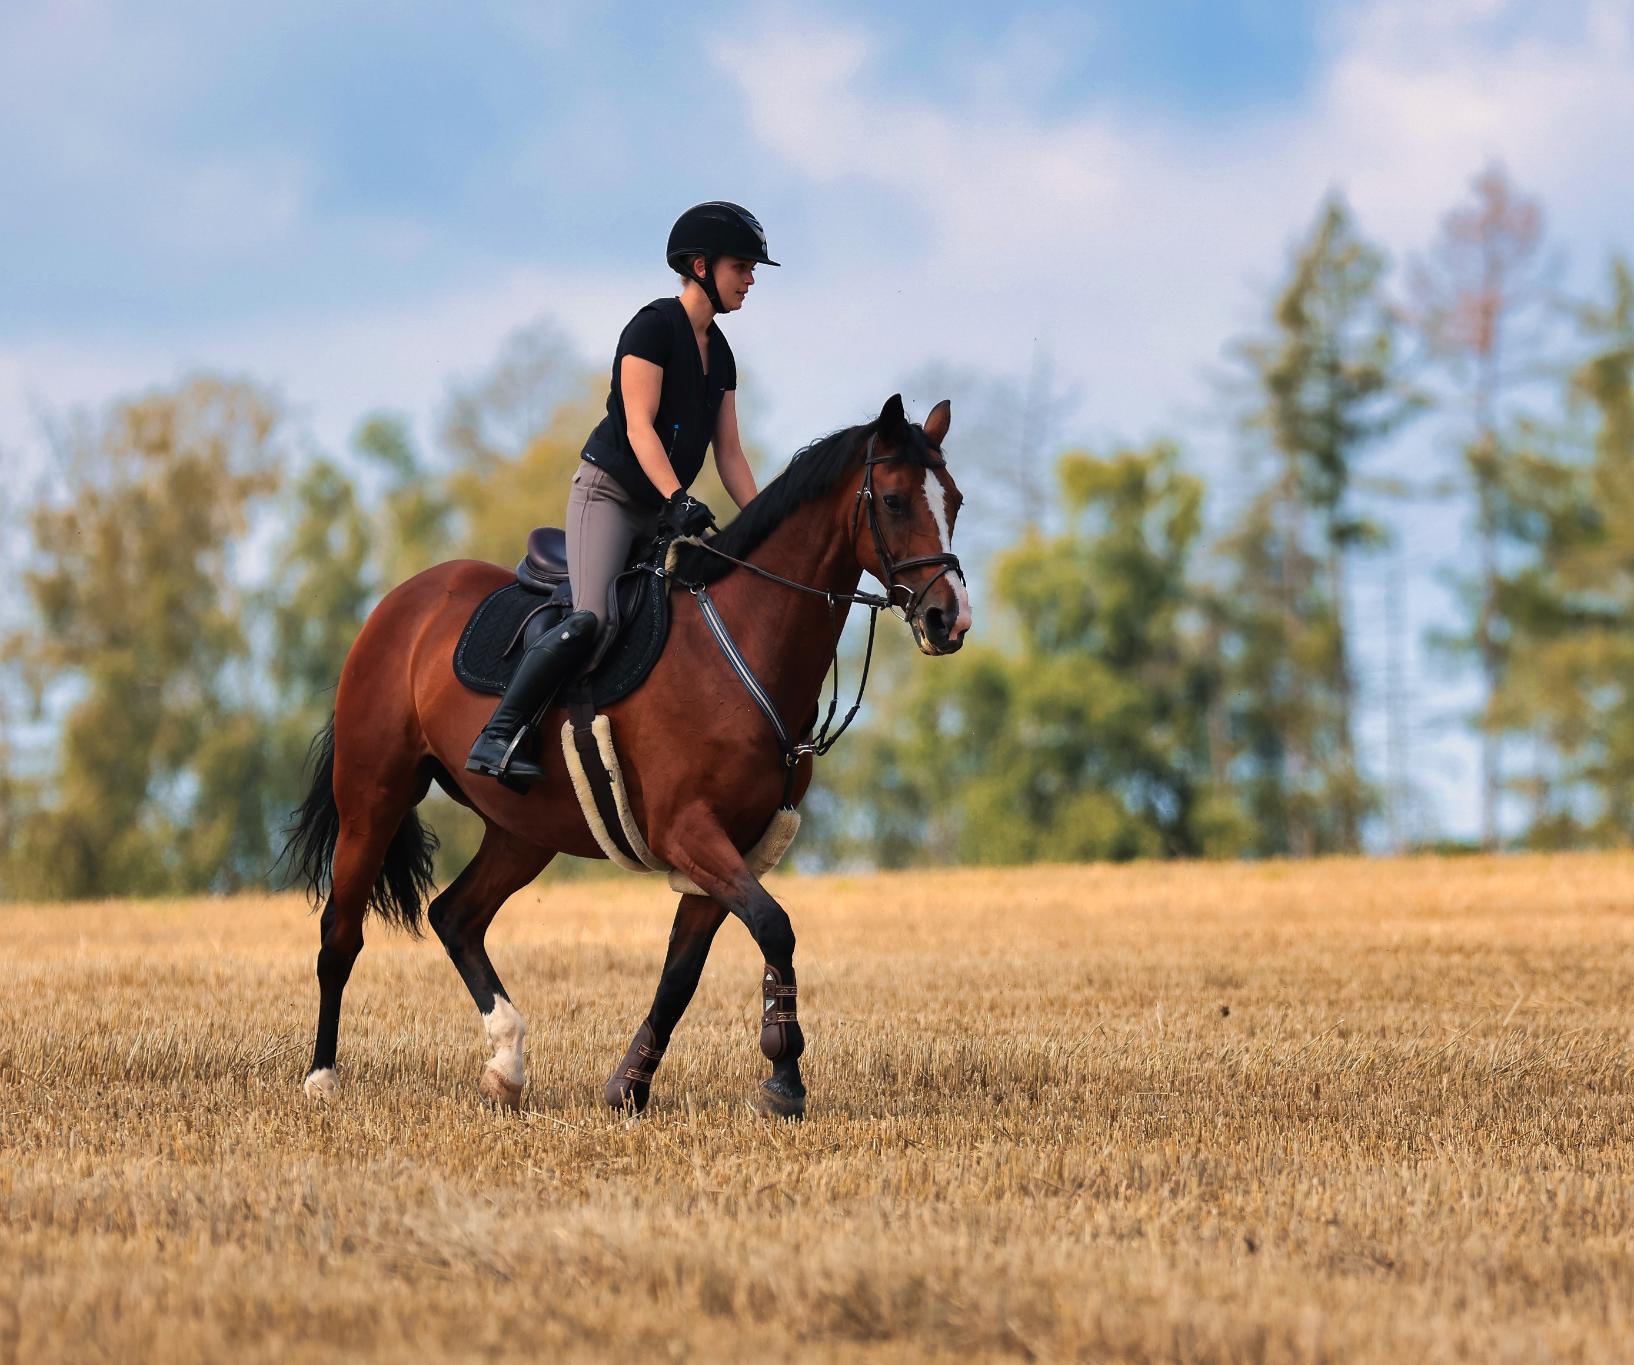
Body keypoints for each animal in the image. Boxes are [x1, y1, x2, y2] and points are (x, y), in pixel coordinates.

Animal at [281, 393, 971, 1119]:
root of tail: (403, 600)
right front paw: (784, 1076)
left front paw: (629, 1085)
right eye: (894, 500)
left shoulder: (732, 845)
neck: (743, 641)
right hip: (373, 796)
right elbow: (774, 926)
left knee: (456, 916)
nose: (949, 619)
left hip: (525, 830)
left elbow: (683, 971)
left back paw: (506, 1064)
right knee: (341, 932)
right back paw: (322, 1075)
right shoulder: (688, 831)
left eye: (953, 499)